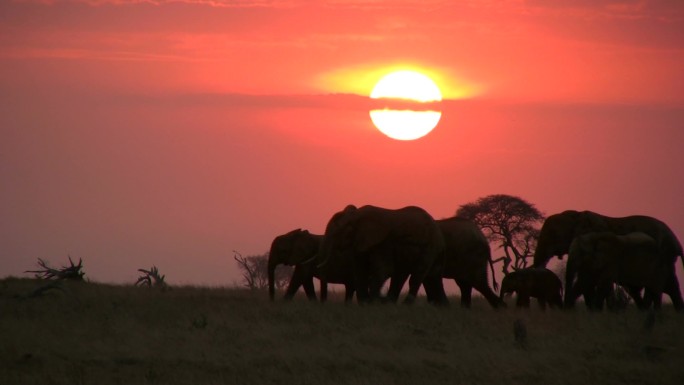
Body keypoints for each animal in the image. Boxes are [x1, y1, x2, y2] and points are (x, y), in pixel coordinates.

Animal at [316, 202, 448, 304]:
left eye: (336, 233)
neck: (356, 215)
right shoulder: (361, 243)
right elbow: (359, 270)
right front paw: (365, 303)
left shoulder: (382, 243)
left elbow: (384, 269)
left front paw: (372, 302)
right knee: (427, 276)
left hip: (429, 247)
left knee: (417, 275)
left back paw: (403, 305)